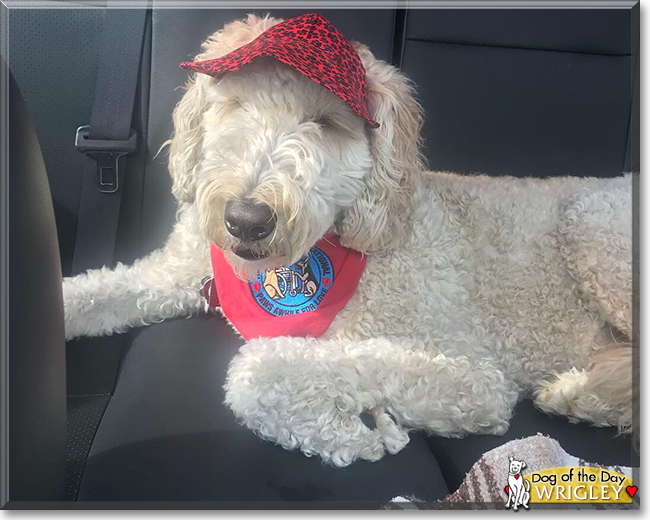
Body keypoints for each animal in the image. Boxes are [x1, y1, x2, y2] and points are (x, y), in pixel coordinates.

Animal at [63, 14, 632, 468]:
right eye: (236, 104)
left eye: (326, 122)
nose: (246, 220)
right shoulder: (176, 270)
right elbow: (89, 294)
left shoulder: (469, 375)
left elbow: (257, 369)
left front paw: (356, 435)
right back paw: (585, 395)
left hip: (595, 227)